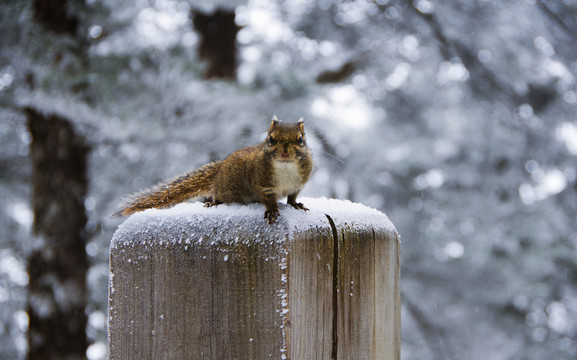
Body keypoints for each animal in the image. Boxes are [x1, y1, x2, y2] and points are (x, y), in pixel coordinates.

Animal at [114, 116, 312, 222]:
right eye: (270, 139)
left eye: (300, 140)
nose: (285, 153)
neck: (285, 167)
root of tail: (218, 173)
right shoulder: (262, 184)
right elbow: (268, 199)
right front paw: (271, 210)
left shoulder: (297, 185)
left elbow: (292, 197)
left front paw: (295, 204)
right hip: (225, 190)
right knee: (219, 196)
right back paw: (214, 202)